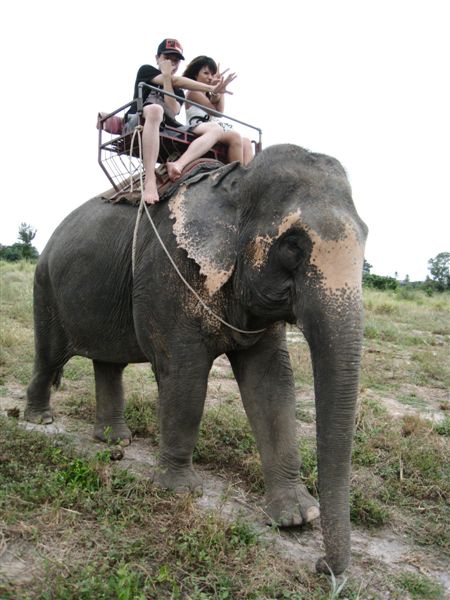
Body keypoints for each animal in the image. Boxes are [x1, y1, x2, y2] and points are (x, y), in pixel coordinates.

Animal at [25, 143, 366, 576]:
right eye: (293, 245)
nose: (323, 566)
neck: (235, 183)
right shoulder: (169, 272)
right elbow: (184, 373)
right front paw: (179, 492)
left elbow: (272, 383)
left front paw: (295, 518)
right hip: (44, 285)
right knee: (50, 356)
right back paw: (40, 420)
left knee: (108, 363)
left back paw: (115, 441)